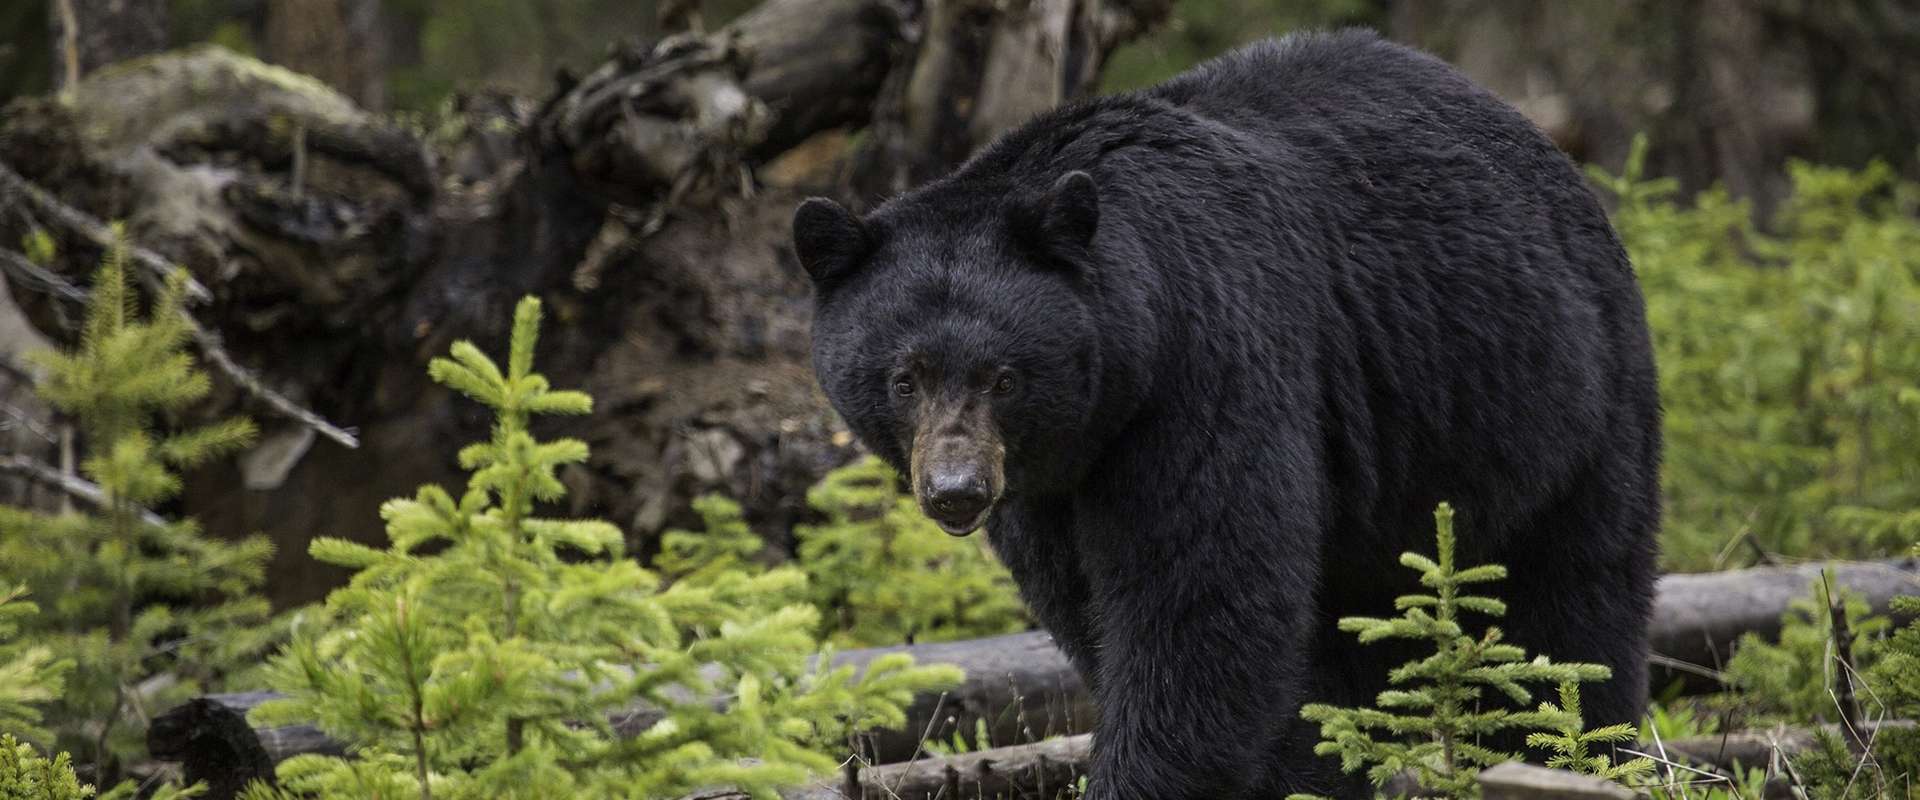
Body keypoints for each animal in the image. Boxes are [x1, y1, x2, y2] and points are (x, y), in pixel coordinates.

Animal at [791, 29, 1660, 799]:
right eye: (905, 377)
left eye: (1003, 376)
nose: (956, 491)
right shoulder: (1049, 486)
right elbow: (1093, 608)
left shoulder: (1208, 367)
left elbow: (1200, 604)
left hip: (1559, 401)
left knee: (1573, 606)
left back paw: (1574, 749)